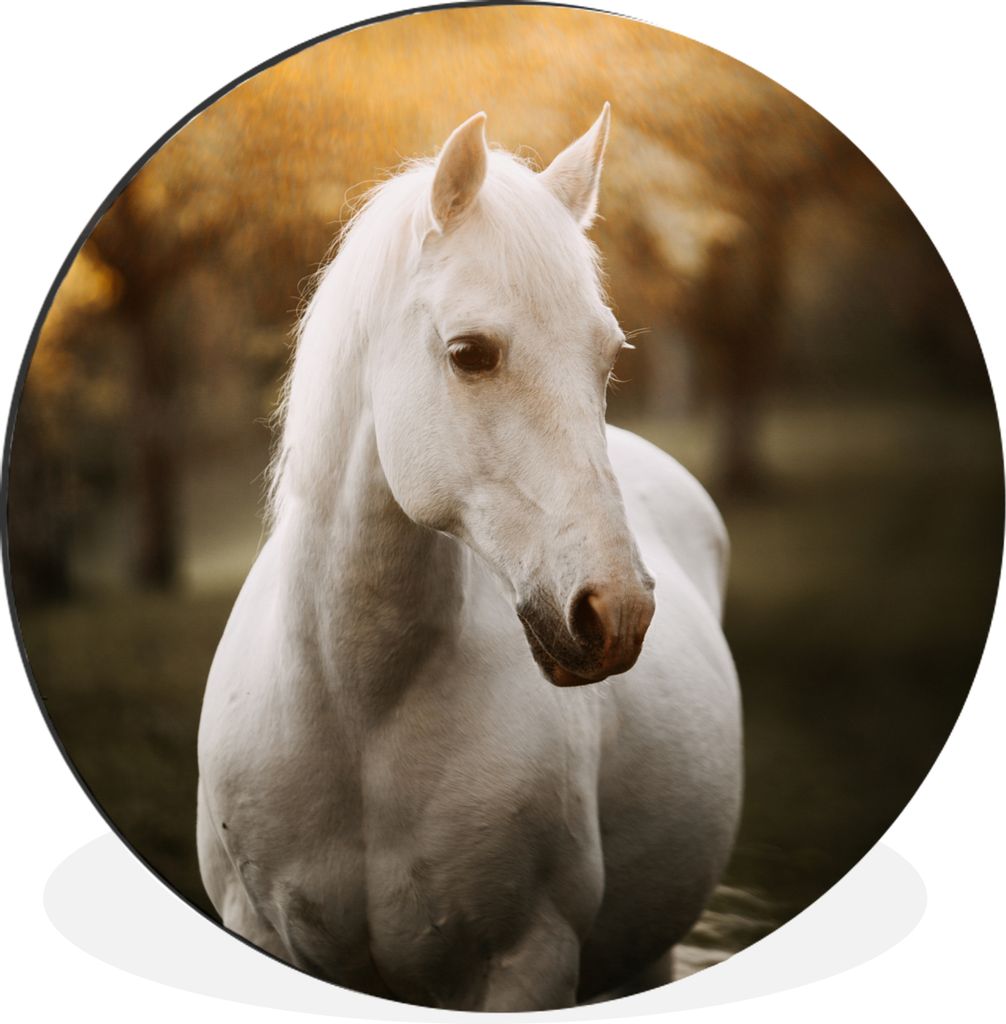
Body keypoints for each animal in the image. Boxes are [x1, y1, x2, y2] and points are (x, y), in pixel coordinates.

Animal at [196, 106, 742, 1011]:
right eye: (471, 353)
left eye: (607, 357)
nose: (617, 611)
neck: (358, 705)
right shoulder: (260, 930)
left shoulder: (529, 961)